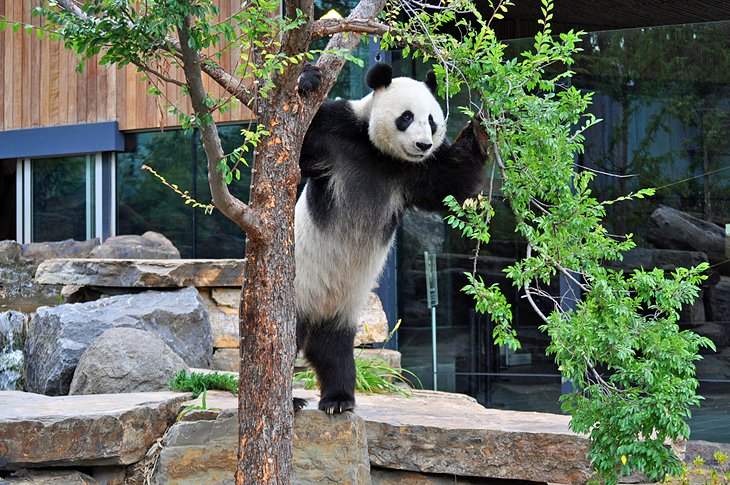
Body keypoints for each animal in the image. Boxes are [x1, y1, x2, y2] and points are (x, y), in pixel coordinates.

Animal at [294, 62, 490, 414]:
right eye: (407, 117)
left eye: (432, 121)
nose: (423, 145)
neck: (381, 155)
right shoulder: (334, 136)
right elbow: (300, 147)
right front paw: (308, 79)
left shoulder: (417, 172)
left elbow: (453, 181)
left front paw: (481, 129)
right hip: (299, 288)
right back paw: (294, 400)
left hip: (343, 305)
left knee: (334, 347)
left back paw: (338, 399)